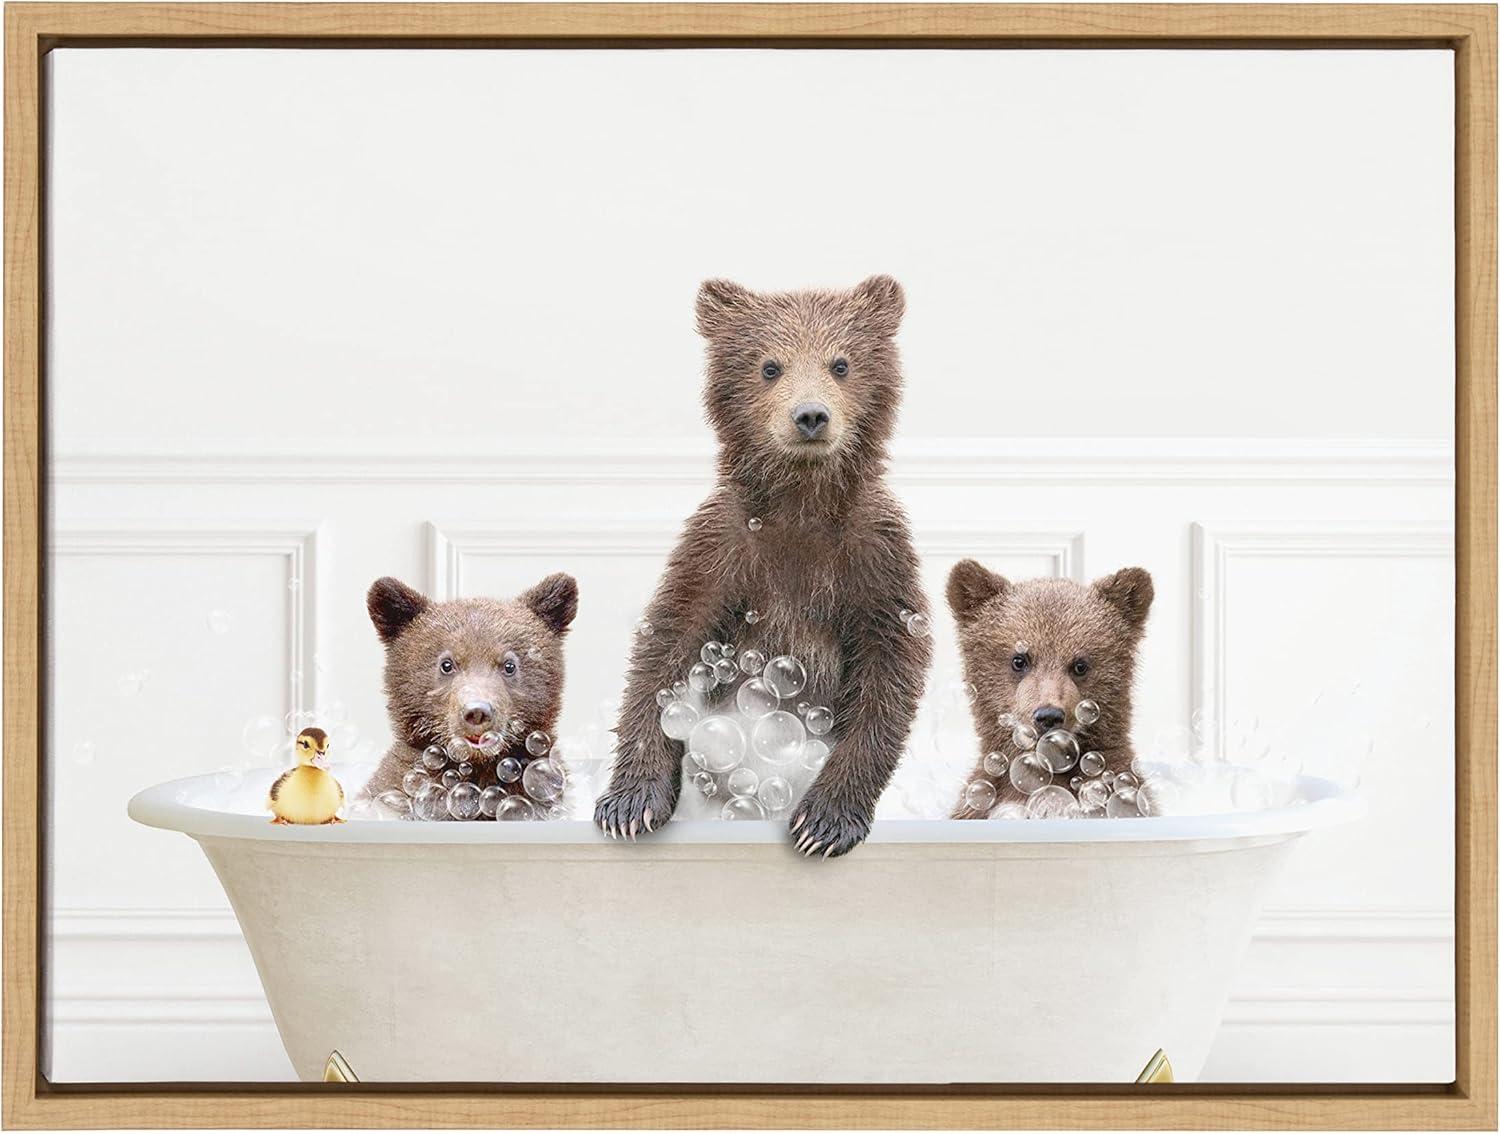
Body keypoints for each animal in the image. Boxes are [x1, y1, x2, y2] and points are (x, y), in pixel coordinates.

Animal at [593, 275, 933, 857]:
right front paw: (630, 804)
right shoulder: (722, 549)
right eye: (769, 366)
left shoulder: (875, 559)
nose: (811, 416)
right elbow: (666, 650)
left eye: (841, 363)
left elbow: (887, 676)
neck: (801, 507)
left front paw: (823, 822)